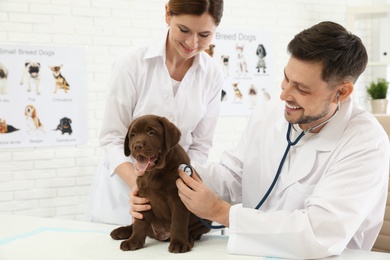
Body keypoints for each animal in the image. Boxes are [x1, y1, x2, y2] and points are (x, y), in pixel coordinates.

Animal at [110, 116, 210, 254]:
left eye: (151, 133)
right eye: (132, 135)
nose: (137, 146)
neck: (155, 172)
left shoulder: (178, 198)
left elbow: (178, 222)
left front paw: (179, 243)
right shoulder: (143, 198)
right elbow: (140, 223)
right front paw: (133, 241)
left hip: (205, 219)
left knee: (195, 231)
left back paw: (189, 238)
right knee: (136, 225)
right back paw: (121, 231)